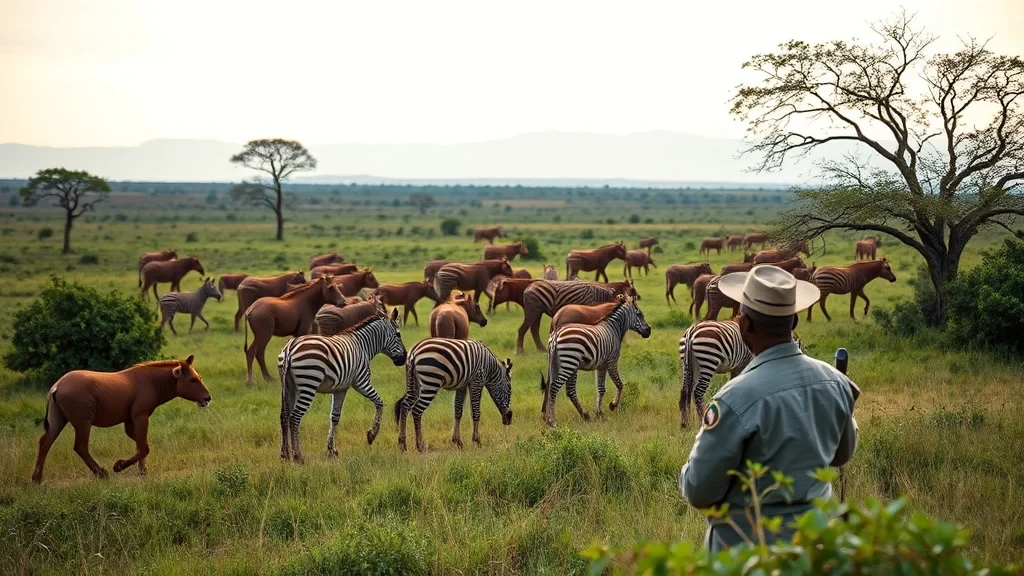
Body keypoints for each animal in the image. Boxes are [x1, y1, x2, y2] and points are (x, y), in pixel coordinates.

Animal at [277, 308, 406, 462]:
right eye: (398, 335)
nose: (404, 358)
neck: (364, 347)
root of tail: (290, 348)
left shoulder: (340, 388)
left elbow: (334, 417)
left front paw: (331, 450)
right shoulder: (361, 382)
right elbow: (379, 402)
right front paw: (371, 435)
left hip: (288, 387)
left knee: (284, 416)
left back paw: (285, 454)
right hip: (308, 383)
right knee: (295, 417)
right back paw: (298, 456)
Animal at [540, 295, 651, 427]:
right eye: (639, 314)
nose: (649, 331)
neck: (614, 328)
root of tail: (557, 333)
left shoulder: (601, 365)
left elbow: (601, 388)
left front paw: (599, 413)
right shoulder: (611, 361)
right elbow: (619, 384)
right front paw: (612, 405)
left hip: (557, 363)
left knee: (558, 388)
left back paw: (582, 416)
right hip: (570, 362)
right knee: (556, 387)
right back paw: (552, 421)